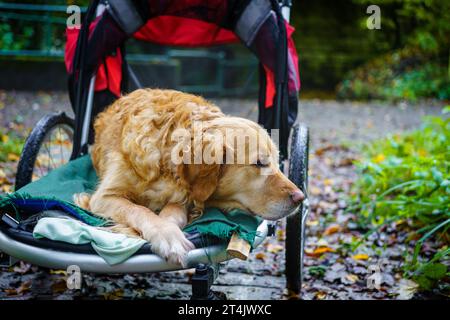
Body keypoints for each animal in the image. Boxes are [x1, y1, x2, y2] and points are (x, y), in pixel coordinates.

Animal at [75, 88, 304, 264]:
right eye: (259, 163)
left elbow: (173, 211)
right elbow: (138, 209)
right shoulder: (103, 197)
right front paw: (166, 235)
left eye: (276, 160)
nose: (300, 197)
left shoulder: (187, 195)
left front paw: (169, 227)